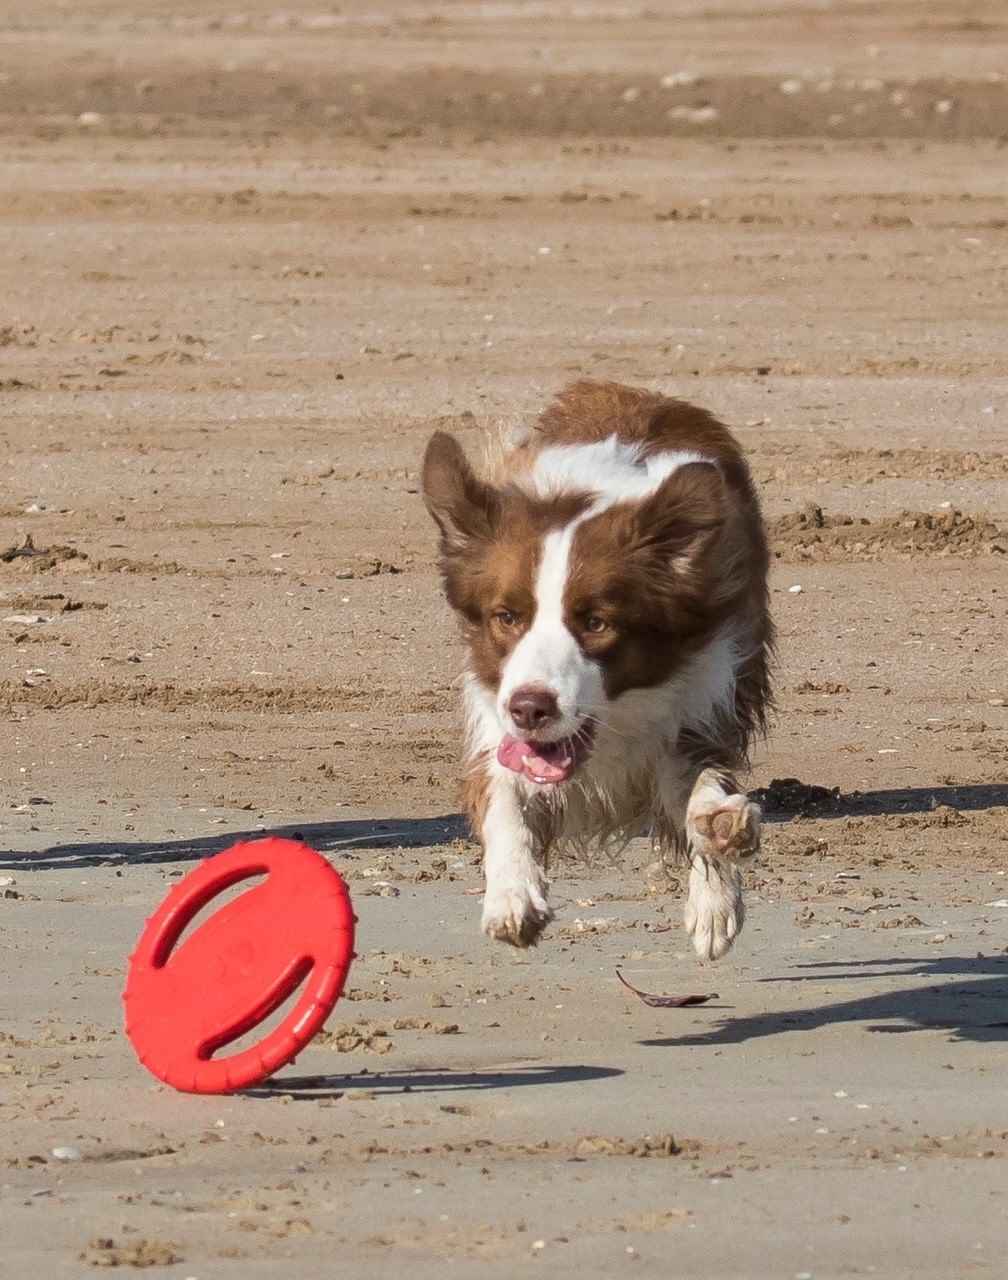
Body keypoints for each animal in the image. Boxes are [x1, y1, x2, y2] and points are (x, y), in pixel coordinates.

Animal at [419, 378, 772, 962]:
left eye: (596, 622)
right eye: (507, 616)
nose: (531, 708)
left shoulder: (699, 702)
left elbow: (700, 787)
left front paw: (716, 877)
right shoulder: (494, 718)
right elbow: (502, 799)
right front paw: (512, 897)